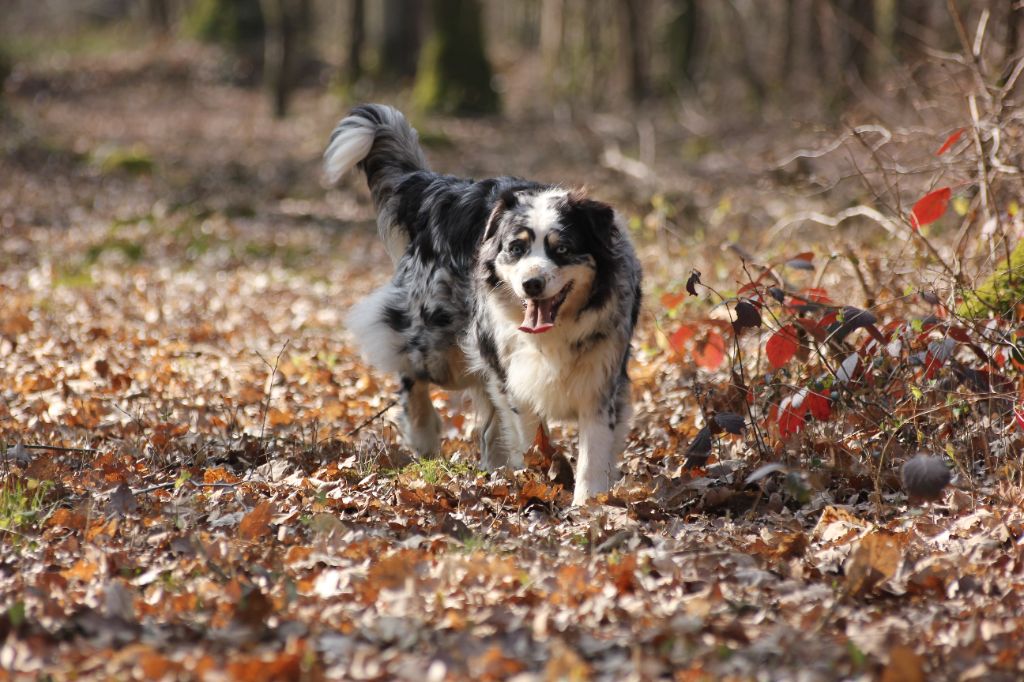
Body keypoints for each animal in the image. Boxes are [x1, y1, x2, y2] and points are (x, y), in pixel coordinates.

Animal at [325, 103, 638, 501]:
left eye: (562, 249)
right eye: (516, 248)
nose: (531, 284)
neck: (555, 332)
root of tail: (446, 189)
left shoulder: (601, 376)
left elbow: (594, 448)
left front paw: (588, 501)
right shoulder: (513, 374)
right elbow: (530, 433)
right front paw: (540, 478)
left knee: (488, 429)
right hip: (441, 346)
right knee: (410, 370)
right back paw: (424, 436)